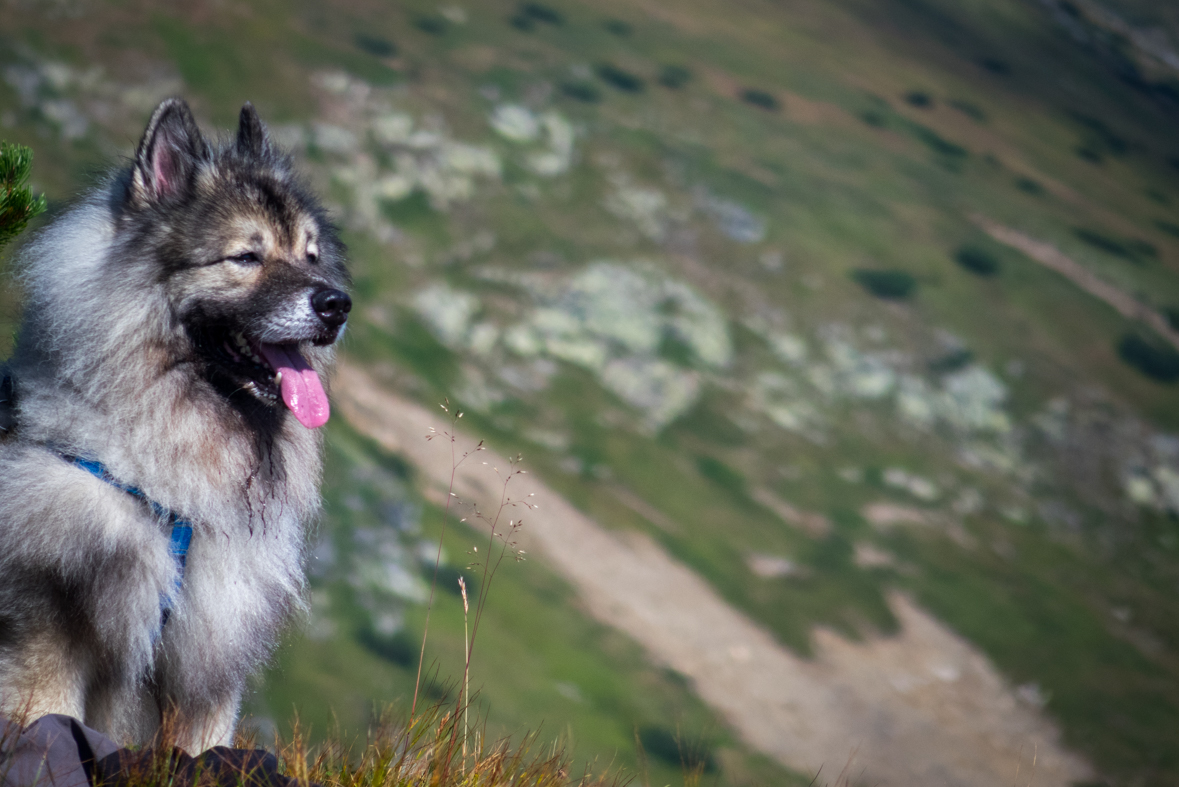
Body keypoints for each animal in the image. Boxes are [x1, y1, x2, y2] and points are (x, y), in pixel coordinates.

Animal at [0, 96, 348, 749]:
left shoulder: (205, 666)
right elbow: (47, 727)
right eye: (246, 257)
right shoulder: (46, 634)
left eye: (311, 256)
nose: (338, 305)